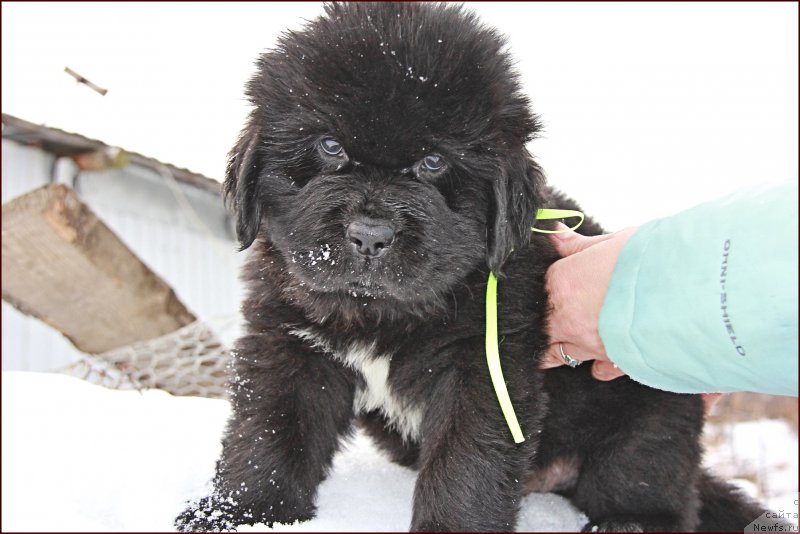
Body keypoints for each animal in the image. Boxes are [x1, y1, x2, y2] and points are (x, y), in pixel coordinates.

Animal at [178, 2, 764, 532]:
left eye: (434, 161)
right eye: (330, 146)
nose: (370, 235)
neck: (383, 314)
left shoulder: (484, 365)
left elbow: (467, 466)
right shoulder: (290, 341)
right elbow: (268, 435)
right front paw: (239, 516)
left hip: (650, 415)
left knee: (657, 490)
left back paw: (629, 523)